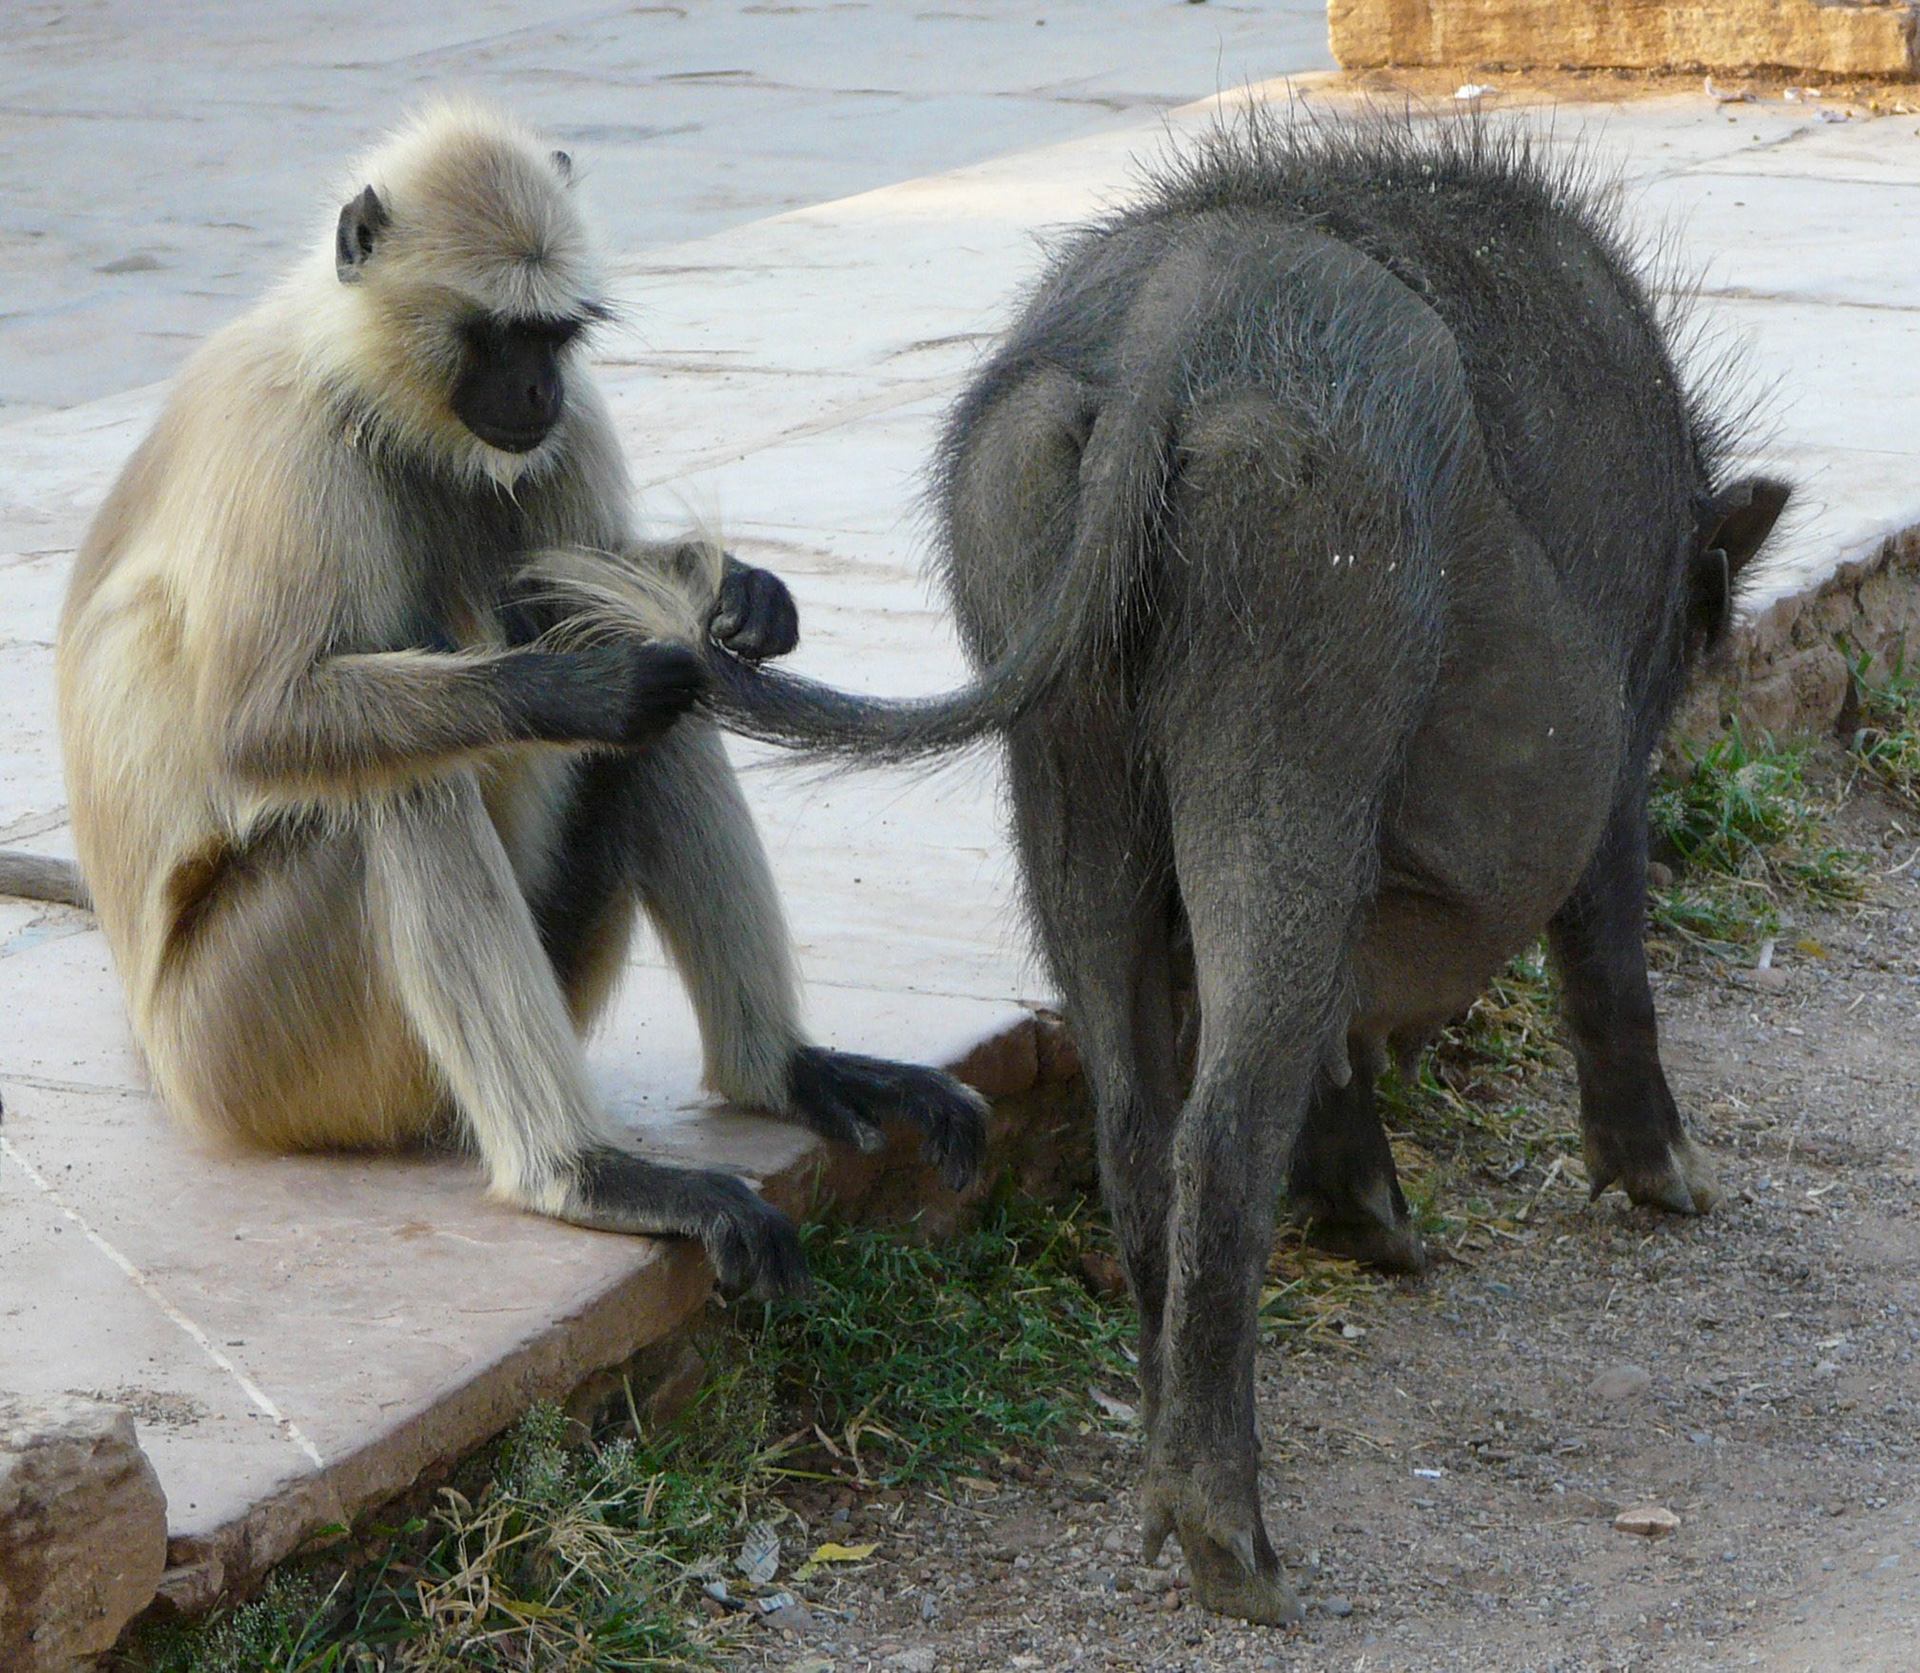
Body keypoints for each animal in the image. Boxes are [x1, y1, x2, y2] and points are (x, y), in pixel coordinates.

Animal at [22, 101, 986, 1298]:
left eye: (556, 338)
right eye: (493, 336)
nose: (536, 393)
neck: (374, 397)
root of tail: (153, 1042)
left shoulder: (567, 430)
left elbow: (617, 598)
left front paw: (740, 594)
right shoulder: (284, 442)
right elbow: (259, 726)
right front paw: (588, 681)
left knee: (661, 728)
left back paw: (781, 1069)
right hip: (241, 1052)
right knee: (400, 790)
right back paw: (579, 1173)